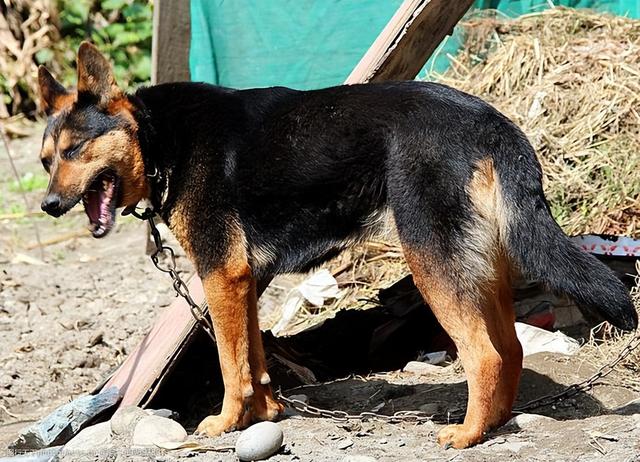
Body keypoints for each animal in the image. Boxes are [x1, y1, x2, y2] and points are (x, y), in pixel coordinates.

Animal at [38, 42, 636, 448]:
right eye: (47, 160)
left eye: (75, 150)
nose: (48, 205)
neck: (159, 138)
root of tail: (491, 122)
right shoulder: (245, 282)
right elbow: (255, 358)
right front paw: (267, 415)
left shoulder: (221, 276)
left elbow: (231, 365)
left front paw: (226, 422)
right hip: (476, 265)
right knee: (509, 348)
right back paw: (494, 424)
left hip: (432, 263)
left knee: (484, 353)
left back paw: (466, 435)